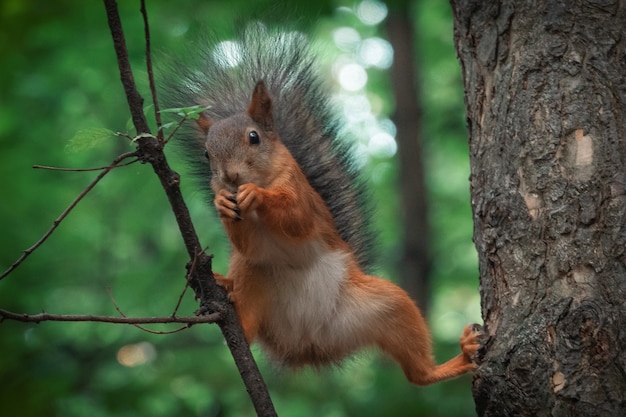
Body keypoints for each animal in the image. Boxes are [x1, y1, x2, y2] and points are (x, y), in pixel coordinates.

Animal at [163, 25, 480, 384]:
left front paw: (256, 195)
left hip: (389, 307)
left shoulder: (303, 198)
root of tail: (308, 346)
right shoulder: (250, 240)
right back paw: (222, 292)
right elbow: (248, 244)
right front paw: (222, 203)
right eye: (207, 154)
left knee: (419, 374)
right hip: (256, 281)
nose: (230, 177)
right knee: (248, 317)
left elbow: (297, 219)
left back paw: (459, 358)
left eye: (254, 137)